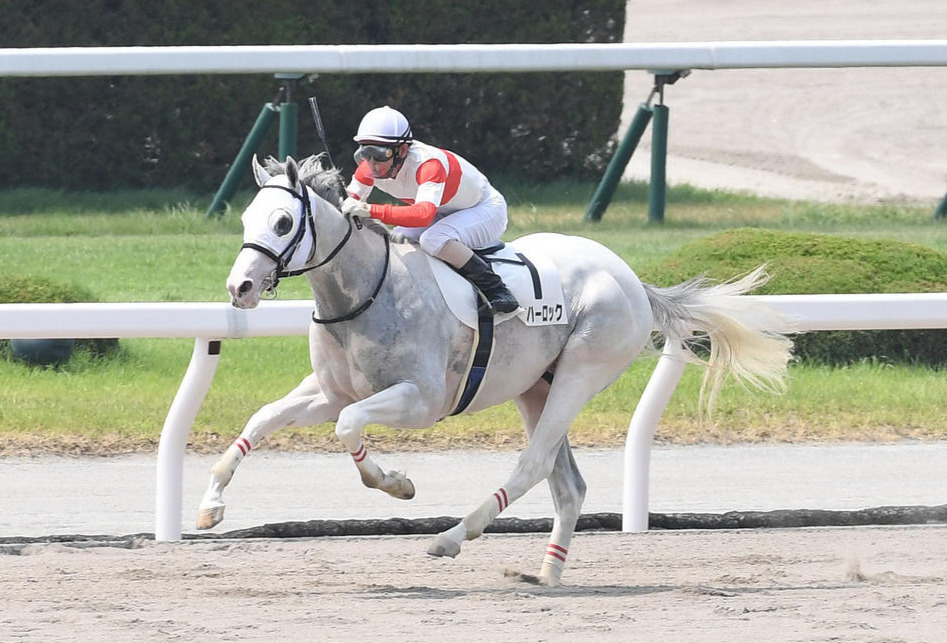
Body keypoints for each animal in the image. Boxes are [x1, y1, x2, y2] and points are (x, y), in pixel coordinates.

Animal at [197, 154, 793, 586]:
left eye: (282, 222)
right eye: (246, 219)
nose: (239, 288)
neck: (367, 292)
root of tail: (631, 278)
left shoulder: (421, 399)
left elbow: (349, 428)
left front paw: (396, 484)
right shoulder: (331, 391)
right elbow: (262, 419)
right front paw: (209, 508)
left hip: (582, 371)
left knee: (533, 465)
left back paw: (452, 537)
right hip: (535, 385)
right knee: (567, 484)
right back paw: (546, 573)